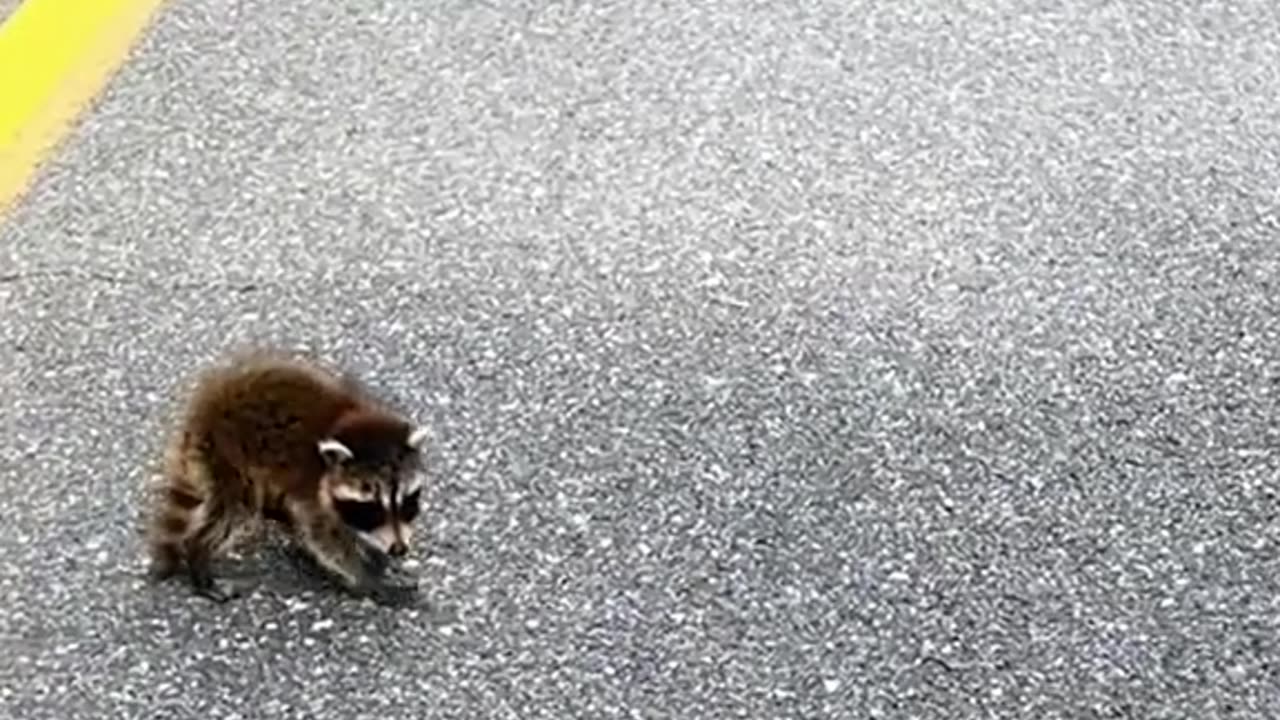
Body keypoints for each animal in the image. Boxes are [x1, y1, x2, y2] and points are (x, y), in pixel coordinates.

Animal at [146, 351, 430, 602]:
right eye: (371, 508)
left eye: (407, 502)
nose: (399, 549)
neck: (348, 422)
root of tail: (207, 406)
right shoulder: (313, 488)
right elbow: (326, 539)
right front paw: (365, 577)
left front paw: (377, 557)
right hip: (232, 457)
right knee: (232, 512)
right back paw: (199, 557)